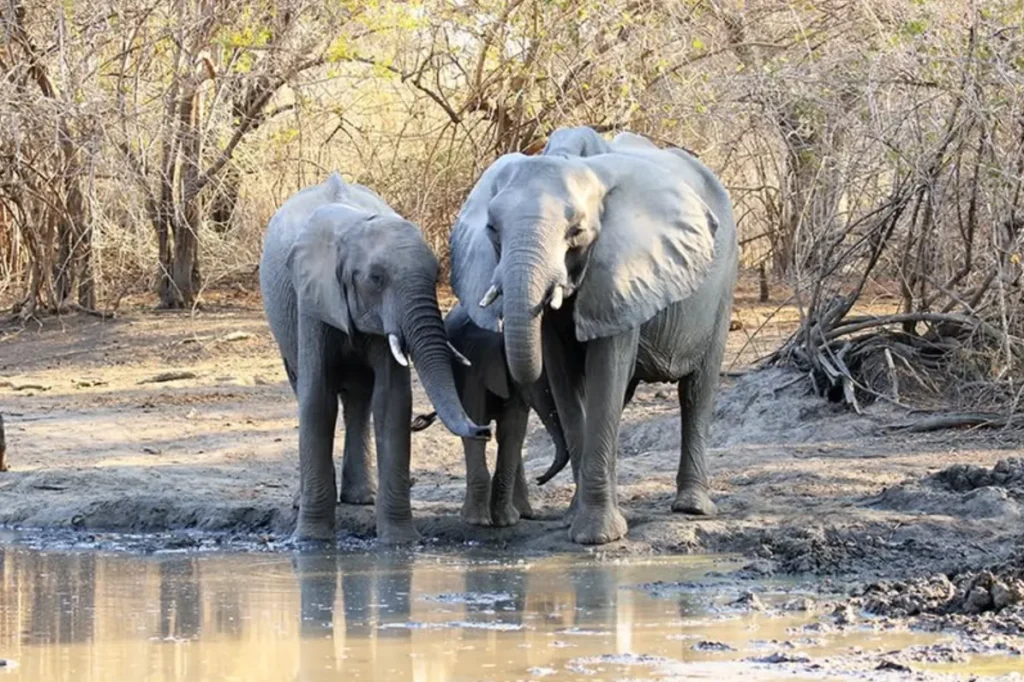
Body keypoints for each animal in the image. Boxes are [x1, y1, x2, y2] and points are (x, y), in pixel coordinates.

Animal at [259, 171, 490, 544]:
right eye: (376, 279)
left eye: (436, 275)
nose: (484, 429)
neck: (354, 227)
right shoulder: (313, 299)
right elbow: (317, 399)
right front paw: (310, 541)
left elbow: (392, 400)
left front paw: (400, 542)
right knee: (303, 386)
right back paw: (305, 501)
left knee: (360, 399)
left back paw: (361, 498)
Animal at [412, 302, 572, 527]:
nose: (540, 479)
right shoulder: (474, 364)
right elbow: (477, 421)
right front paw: (478, 521)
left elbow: (511, 430)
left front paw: (506, 521)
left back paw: (523, 513)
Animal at [449, 126, 738, 545]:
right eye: (492, 230)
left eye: (576, 232)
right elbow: (565, 381)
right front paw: (576, 521)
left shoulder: (620, 271)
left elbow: (606, 368)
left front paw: (597, 537)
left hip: (724, 280)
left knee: (697, 389)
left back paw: (692, 508)